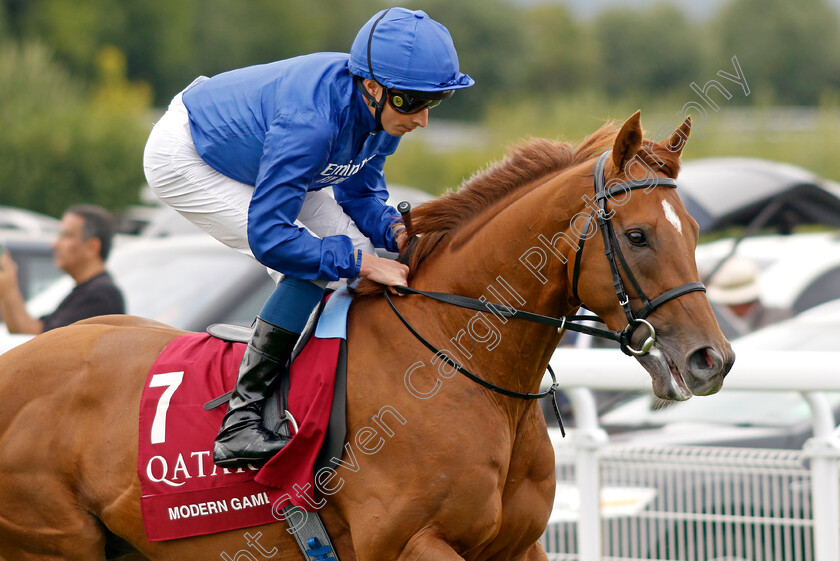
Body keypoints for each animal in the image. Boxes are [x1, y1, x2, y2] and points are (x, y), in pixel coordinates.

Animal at [0, 111, 732, 556]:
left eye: (695, 230)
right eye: (637, 235)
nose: (712, 359)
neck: (453, 364)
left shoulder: (519, 544)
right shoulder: (408, 543)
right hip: (52, 539)